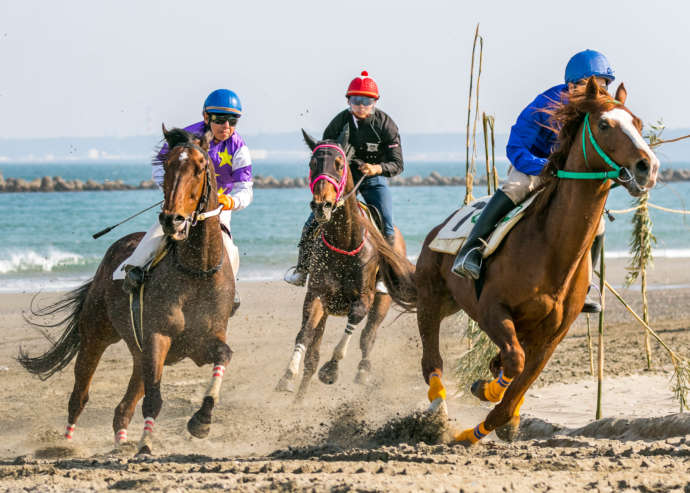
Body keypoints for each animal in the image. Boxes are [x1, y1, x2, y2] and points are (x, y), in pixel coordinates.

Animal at [18, 128, 234, 454]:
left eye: (199, 167)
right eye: (167, 165)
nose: (172, 219)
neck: (197, 271)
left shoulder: (202, 342)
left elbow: (223, 355)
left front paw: (201, 420)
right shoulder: (158, 337)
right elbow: (154, 399)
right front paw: (145, 446)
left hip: (137, 352)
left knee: (123, 406)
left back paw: (121, 442)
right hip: (96, 334)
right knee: (79, 394)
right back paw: (66, 444)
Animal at [274, 128, 414, 400]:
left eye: (339, 164)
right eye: (312, 163)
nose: (322, 205)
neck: (345, 240)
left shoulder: (364, 298)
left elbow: (355, 323)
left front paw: (331, 370)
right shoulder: (317, 295)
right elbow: (305, 334)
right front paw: (287, 375)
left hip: (382, 302)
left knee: (368, 337)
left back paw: (362, 372)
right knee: (314, 352)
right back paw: (300, 397)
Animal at [414, 80, 656, 442]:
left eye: (638, 123)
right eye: (603, 124)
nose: (647, 167)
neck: (551, 251)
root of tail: (438, 227)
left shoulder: (550, 337)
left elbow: (516, 387)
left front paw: (489, 421)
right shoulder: (492, 309)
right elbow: (514, 362)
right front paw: (485, 394)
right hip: (431, 297)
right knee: (431, 359)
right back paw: (437, 409)